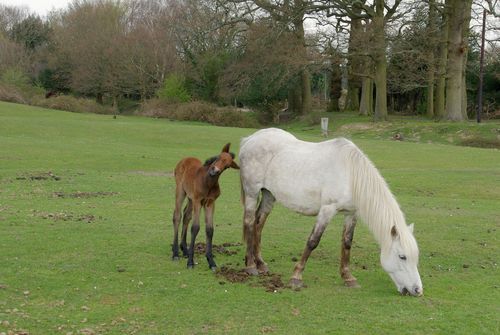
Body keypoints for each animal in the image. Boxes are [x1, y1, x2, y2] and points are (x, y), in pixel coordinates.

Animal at [238, 129, 422, 296]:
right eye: (402, 257)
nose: (417, 290)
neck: (350, 175)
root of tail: (250, 139)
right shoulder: (327, 210)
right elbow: (313, 241)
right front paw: (296, 277)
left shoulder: (351, 213)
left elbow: (347, 242)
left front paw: (348, 278)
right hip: (252, 193)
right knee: (249, 222)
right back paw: (251, 266)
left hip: (269, 194)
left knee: (259, 224)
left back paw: (261, 264)